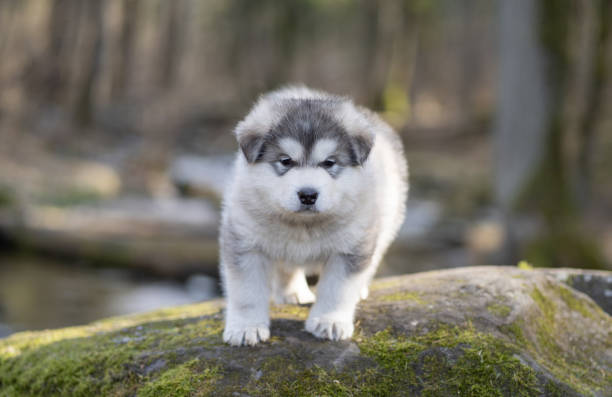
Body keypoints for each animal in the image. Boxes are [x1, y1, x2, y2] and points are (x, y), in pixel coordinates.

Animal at [220, 86, 406, 344]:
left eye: (329, 163)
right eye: (286, 161)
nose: (308, 195)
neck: (303, 225)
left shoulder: (350, 247)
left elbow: (337, 289)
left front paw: (330, 322)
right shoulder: (245, 243)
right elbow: (246, 292)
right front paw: (246, 327)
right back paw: (292, 292)